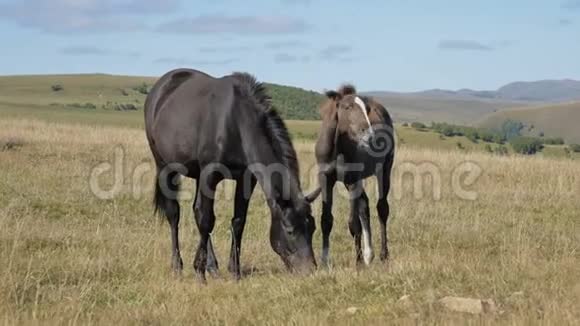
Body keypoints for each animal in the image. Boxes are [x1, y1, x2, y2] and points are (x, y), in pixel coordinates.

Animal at [144, 69, 318, 280]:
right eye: (290, 230)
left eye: (312, 228)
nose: (310, 270)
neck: (235, 122)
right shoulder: (209, 175)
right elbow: (206, 220)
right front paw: (199, 271)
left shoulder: (246, 178)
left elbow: (238, 221)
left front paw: (234, 270)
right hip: (164, 166)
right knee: (174, 214)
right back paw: (178, 266)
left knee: (196, 210)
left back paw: (212, 267)